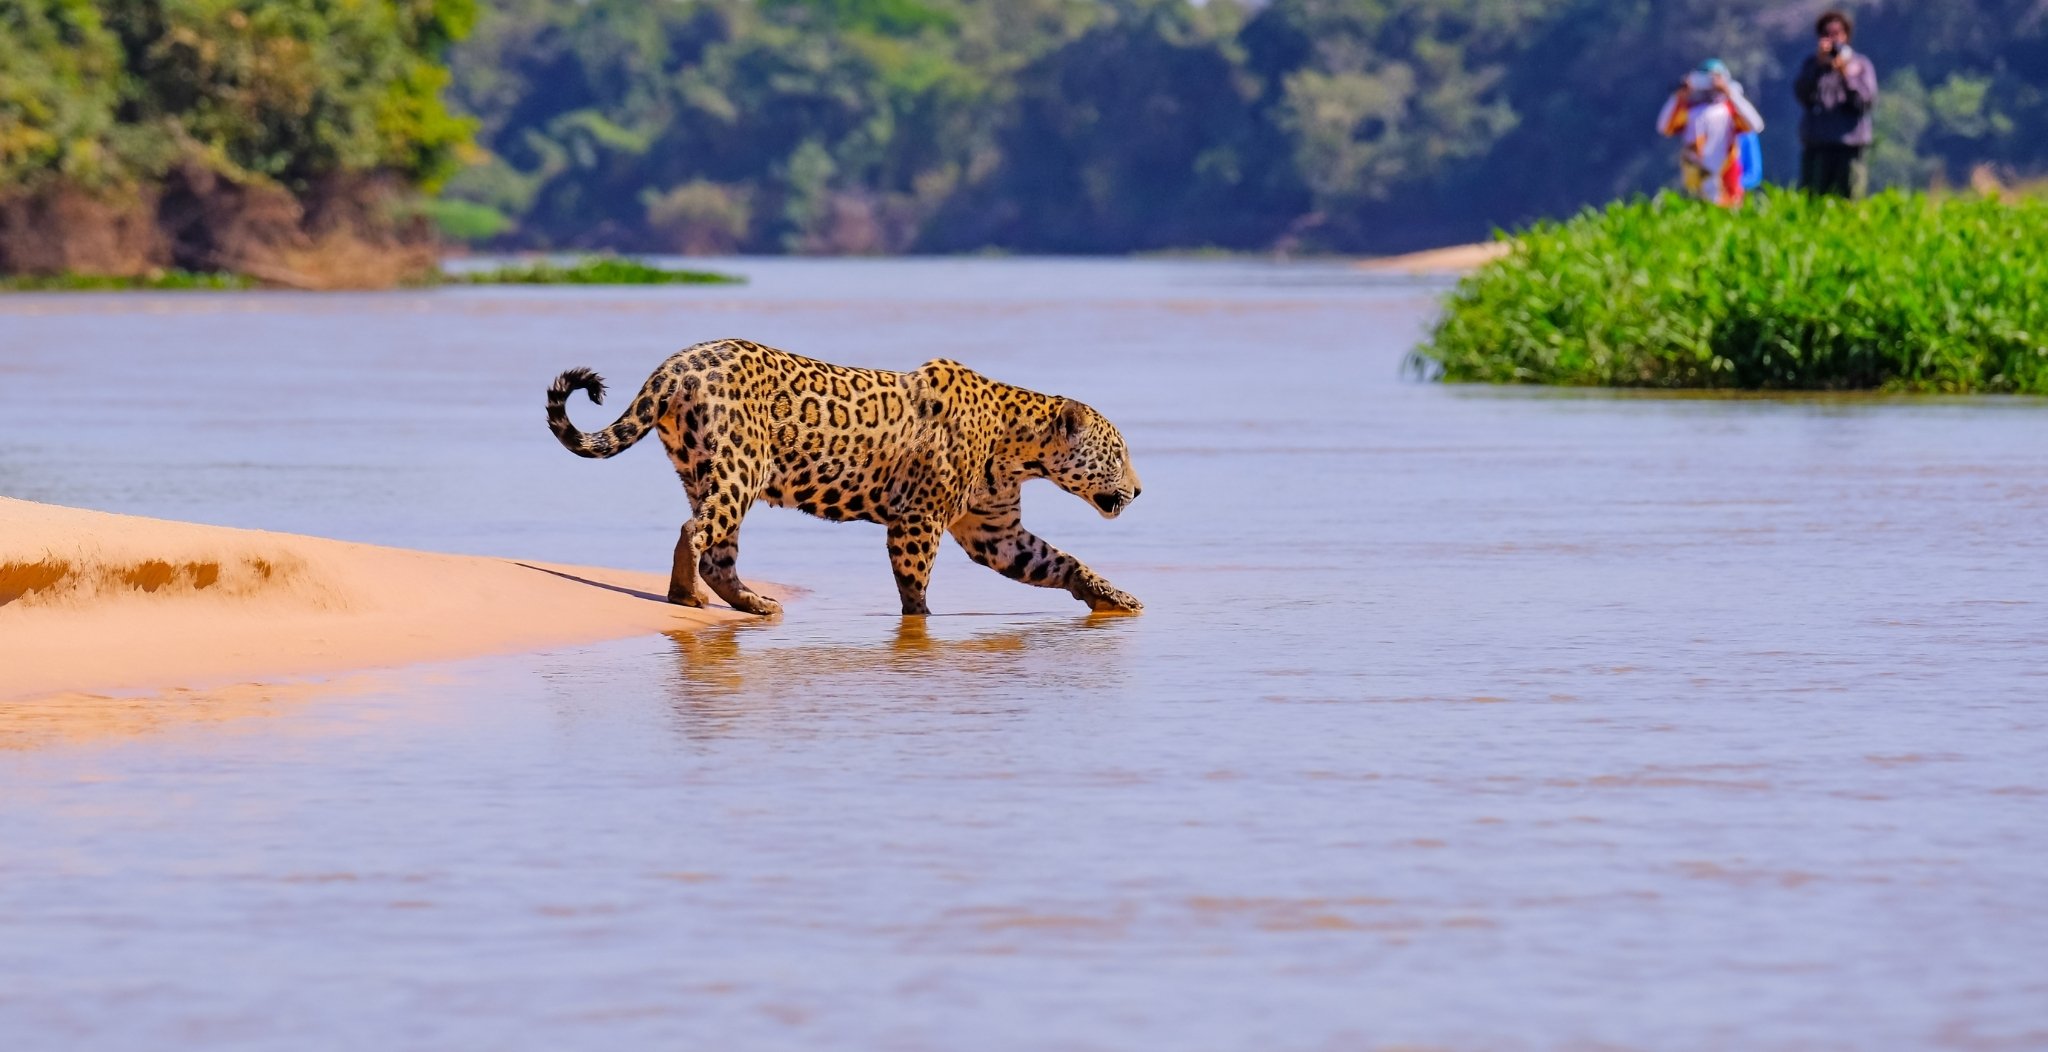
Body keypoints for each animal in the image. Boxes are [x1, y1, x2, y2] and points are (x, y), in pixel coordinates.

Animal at [545, 338, 1143, 617]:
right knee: (697, 531)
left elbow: (1060, 562)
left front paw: (1115, 598)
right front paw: (922, 624)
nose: (1139, 490)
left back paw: (753, 604)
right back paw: (686, 597)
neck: (1018, 447)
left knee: (718, 550)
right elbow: (914, 586)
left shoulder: (995, 532)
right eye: (1118, 453)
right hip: (741, 465)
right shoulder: (918, 519)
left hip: (703, 468)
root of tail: (676, 364)